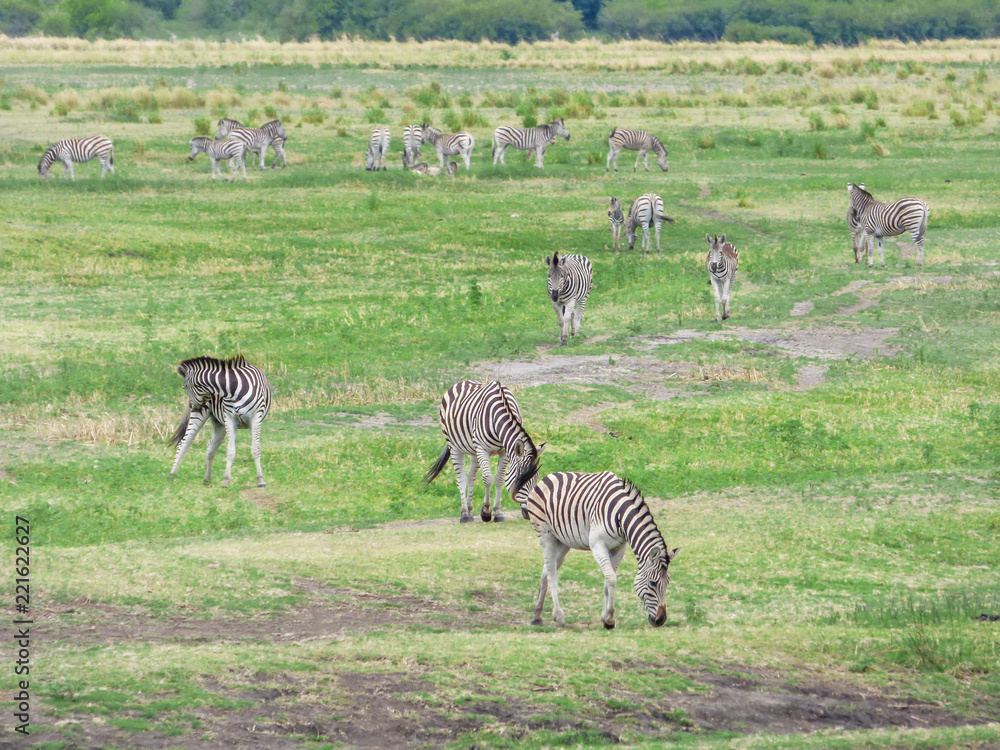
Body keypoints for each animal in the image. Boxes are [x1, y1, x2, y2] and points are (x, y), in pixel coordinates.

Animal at [168, 354, 272, 488]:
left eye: (184, 387)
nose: (191, 406)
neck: (232, 389)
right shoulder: (230, 418)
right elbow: (231, 451)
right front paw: (226, 480)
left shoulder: (256, 417)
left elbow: (255, 449)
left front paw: (260, 480)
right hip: (204, 416)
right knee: (183, 444)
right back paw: (172, 475)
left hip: (220, 425)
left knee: (210, 448)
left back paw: (207, 478)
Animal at [425, 380, 544, 524]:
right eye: (519, 478)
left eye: (536, 478)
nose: (529, 513)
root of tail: (462, 382)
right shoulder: (482, 449)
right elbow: (487, 479)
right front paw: (486, 512)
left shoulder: (504, 451)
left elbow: (499, 479)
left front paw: (498, 513)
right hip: (454, 446)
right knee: (461, 479)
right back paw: (465, 514)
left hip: (474, 450)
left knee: (471, 476)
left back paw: (470, 511)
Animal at [524, 471, 679, 629]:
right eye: (653, 583)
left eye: (668, 582)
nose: (661, 620)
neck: (620, 515)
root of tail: (549, 476)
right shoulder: (597, 545)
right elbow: (611, 579)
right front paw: (610, 618)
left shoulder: (619, 548)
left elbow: (607, 581)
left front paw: (605, 619)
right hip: (546, 535)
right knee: (552, 574)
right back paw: (558, 616)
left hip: (562, 542)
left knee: (547, 570)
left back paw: (537, 615)